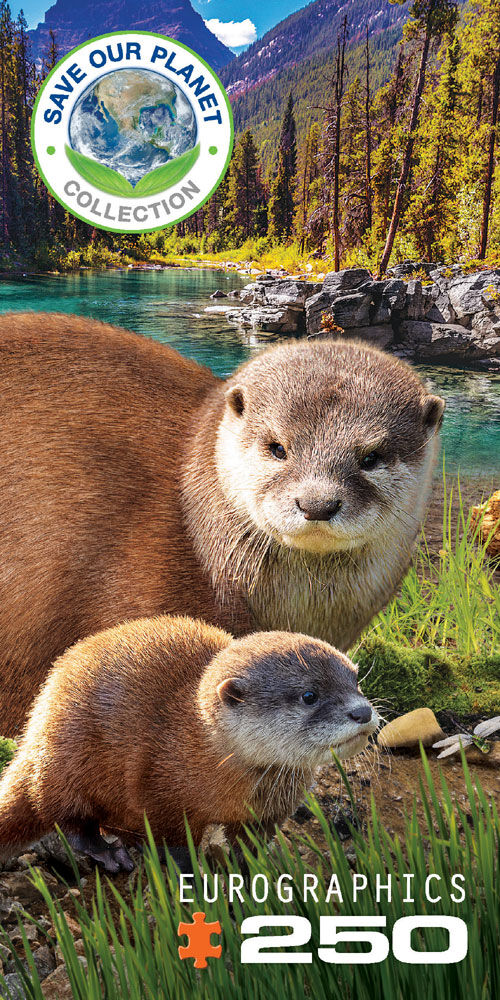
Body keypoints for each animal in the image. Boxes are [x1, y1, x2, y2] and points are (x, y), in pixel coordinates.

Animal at [0, 616, 377, 872]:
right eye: (309, 695)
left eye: (355, 679)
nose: (362, 711)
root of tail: (36, 726)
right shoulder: (160, 790)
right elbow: (175, 844)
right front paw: (194, 875)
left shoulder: (267, 814)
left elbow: (251, 845)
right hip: (67, 757)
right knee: (63, 816)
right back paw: (109, 853)